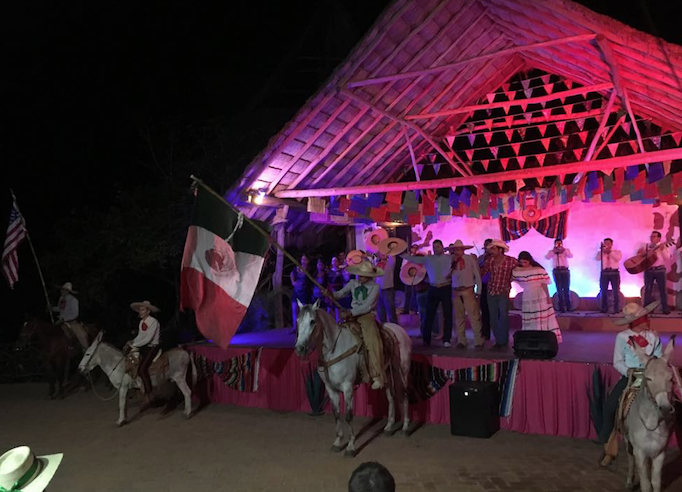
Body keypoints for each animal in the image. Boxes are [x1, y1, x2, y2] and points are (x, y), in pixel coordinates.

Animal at [292, 300, 410, 458]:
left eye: (312, 321)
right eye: (298, 321)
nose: (299, 348)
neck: (334, 349)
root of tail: (400, 330)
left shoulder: (347, 387)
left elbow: (348, 415)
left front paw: (351, 447)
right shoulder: (330, 389)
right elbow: (336, 414)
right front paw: (338, 442)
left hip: (402, 371)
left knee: (404, 395)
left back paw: (405, 428)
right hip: (385, 373)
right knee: (391, 397)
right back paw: (389, 427)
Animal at [620, 338, 676, 492]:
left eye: (671, 379)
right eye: (649, 379)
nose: (665, 408)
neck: (651, 422)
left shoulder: (660, 453)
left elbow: (655, 482)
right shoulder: (640, 453)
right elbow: (645, 484)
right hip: (627, 441)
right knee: (630, 459)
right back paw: (629, 481)